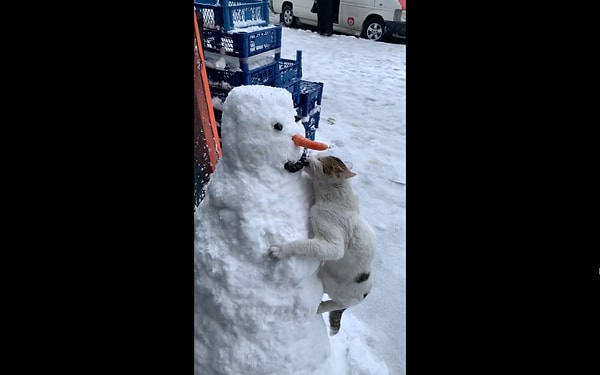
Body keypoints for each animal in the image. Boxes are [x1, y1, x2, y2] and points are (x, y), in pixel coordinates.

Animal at [268, 154, 376, 336]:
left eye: (321, 161)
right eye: (319, 155)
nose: (309, 155)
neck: (333, 198)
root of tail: (367, 292)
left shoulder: (334, 246)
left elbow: (303, 244)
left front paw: (282, 249)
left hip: (338, 292)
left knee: (336, 304)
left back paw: (319, 307)